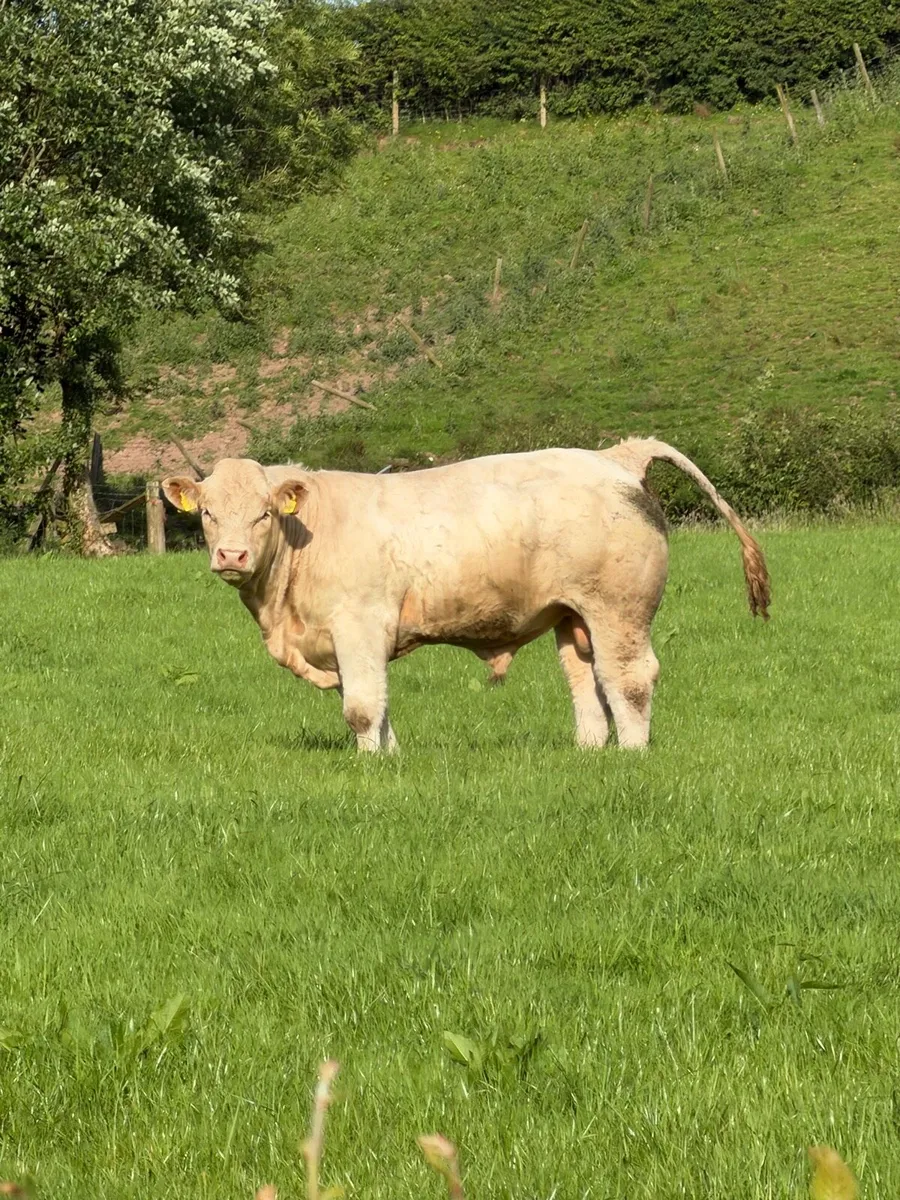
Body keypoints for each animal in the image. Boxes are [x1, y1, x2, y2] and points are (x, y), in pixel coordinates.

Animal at [162, 439, 769, 753]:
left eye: (263, 514)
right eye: (208, 514)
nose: (232, 556)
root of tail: (615, 456)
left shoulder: (359, 625)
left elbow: (361, 707)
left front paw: (369, 764)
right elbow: (377, 703)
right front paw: (391, 758)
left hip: (618, 610)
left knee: (630, 679)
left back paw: (633, 752)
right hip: (572, 617)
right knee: (585, 680)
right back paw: (590, 750)